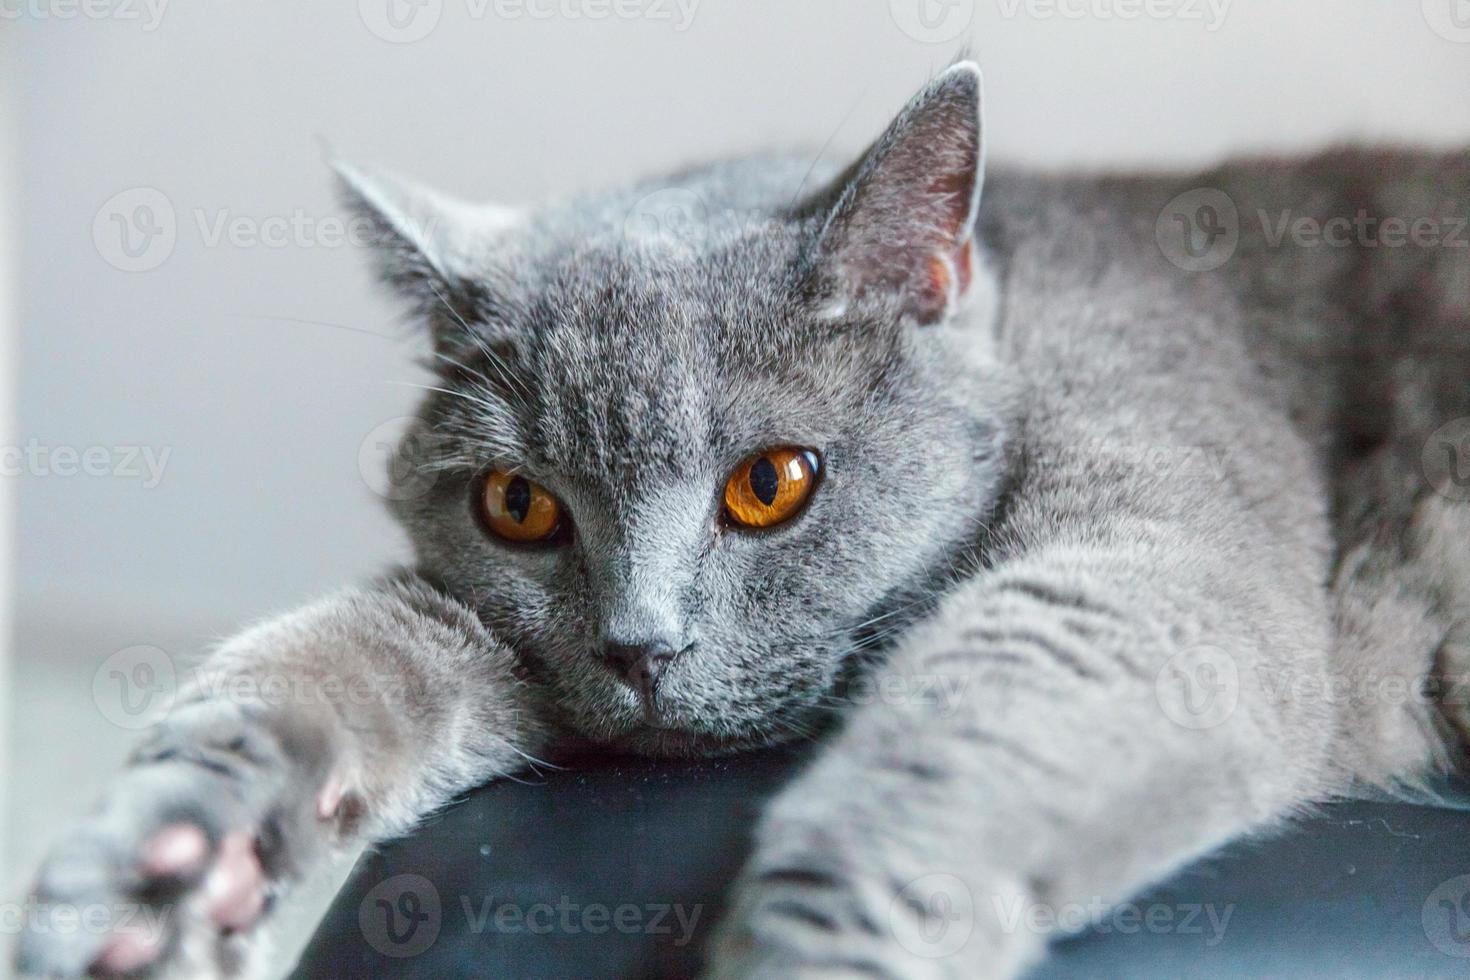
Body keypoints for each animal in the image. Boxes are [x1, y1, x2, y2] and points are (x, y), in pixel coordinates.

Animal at [20, 63, 1470, 980]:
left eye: (772, 483)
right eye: (518, 504)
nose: (639, 647)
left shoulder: (1154, 544)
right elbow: (324, 658)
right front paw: (159, 868)